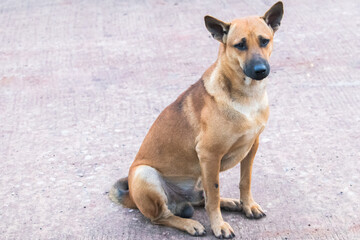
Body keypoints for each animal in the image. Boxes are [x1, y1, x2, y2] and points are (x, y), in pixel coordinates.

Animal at [109, 1, 284, 238]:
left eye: (264, 41)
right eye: (240, 45)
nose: (260, 70)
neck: (247, 96)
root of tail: (132, 199)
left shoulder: (251, 146)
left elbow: (244, 181)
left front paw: (248, 205)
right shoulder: (210, 155)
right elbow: (214, 196)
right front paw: (219, 226)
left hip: (200, 173)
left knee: (202, 198)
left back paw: (230, 202)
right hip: (145, 174)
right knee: (162, 216)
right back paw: (189, 224)